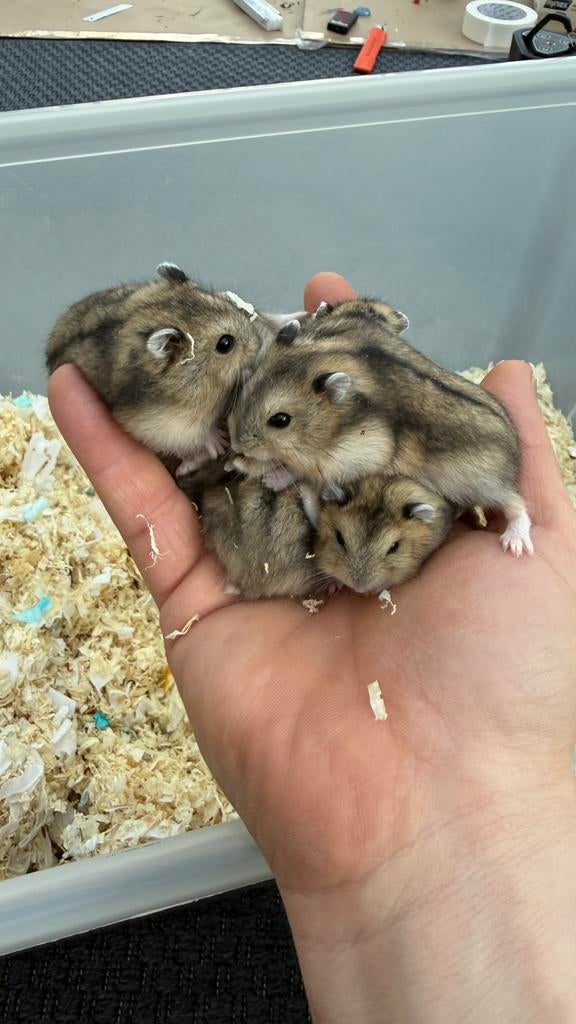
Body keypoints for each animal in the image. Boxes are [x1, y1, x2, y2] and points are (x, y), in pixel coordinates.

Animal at [46, 263, 303, 476]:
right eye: (225, 344)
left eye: (231, 306)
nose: (258, 343)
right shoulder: (162, 425)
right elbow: (198, 433)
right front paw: (219, 441)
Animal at [228, 298, 532, 557]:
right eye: (248, 384)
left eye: (280, 421)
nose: (235, 444)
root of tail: (516, 453)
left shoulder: (359, 455)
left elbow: (299, 469)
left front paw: (260, 472)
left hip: (483, 481)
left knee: (516, 503)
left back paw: (516, 545)